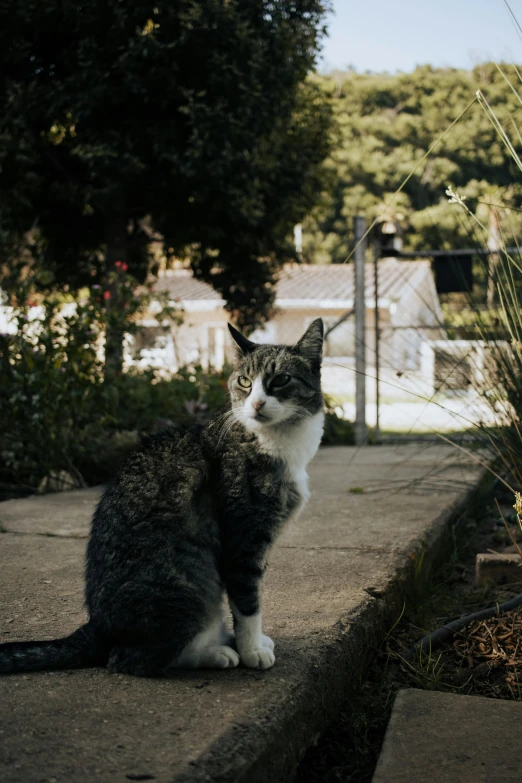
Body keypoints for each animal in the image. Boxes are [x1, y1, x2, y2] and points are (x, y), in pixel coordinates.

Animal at [0, 318, 322, 672]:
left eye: (280, 380)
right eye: (244, 381)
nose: (257, 404)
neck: (274, 441)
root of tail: (97, 626)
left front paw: (256, 642)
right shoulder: (243, 539)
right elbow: (248, 600)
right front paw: (252, 650)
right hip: (189, 582)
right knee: (128, 659)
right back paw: (215, 653)